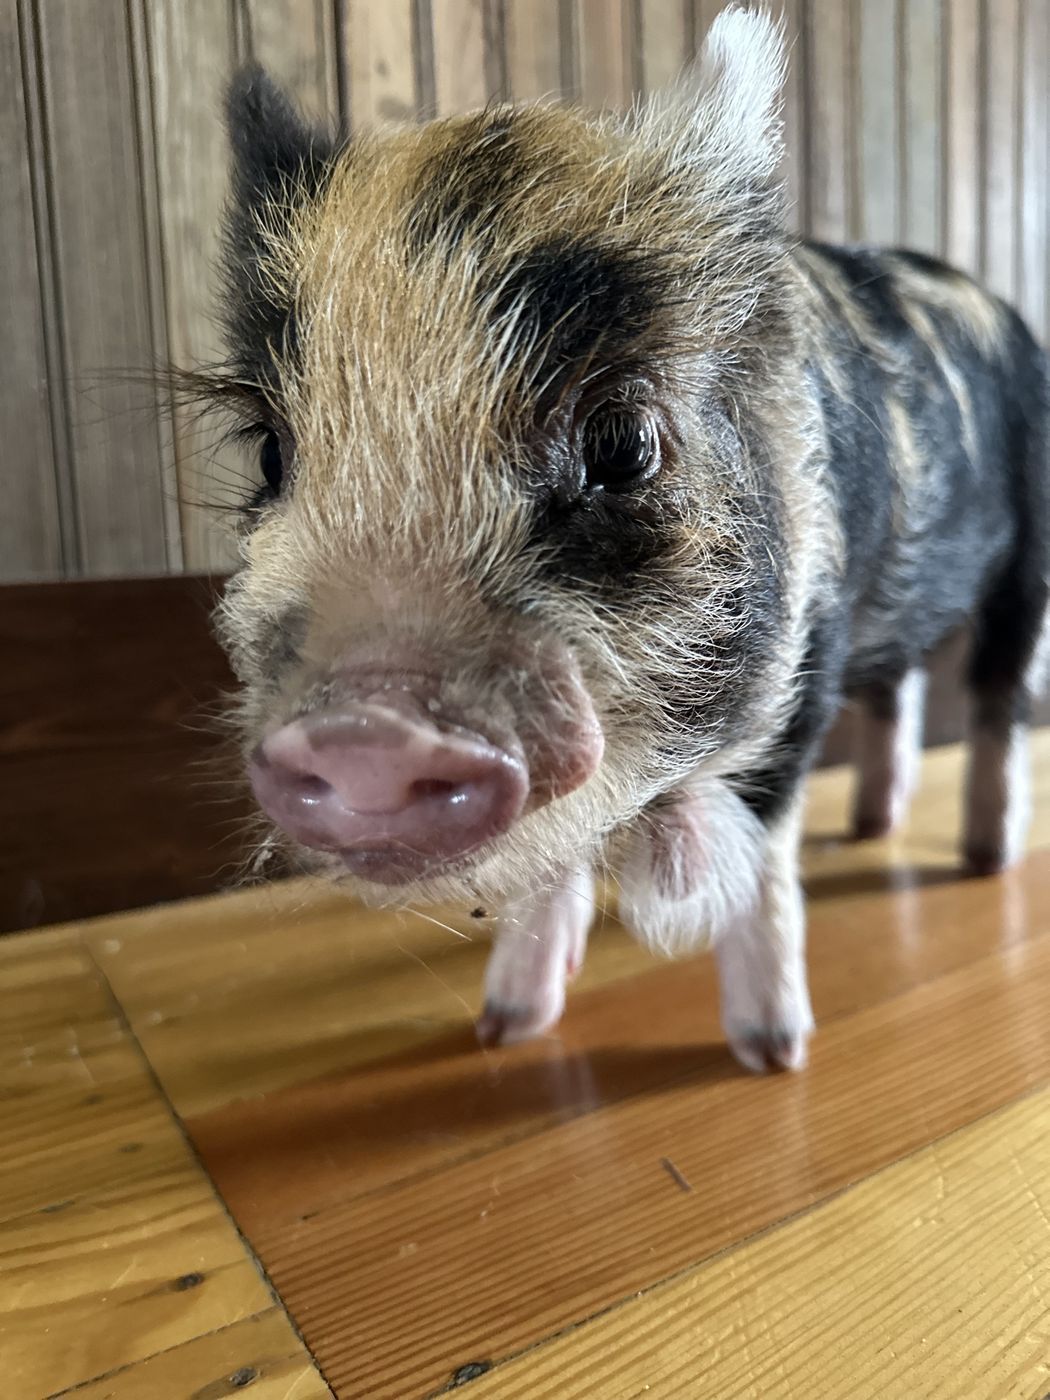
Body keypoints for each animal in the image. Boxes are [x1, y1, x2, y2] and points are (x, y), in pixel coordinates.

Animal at [202, 7, 1049, 1072]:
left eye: (622, 444)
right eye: (271, 451)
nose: (367, 725)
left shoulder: (802, 661)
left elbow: (763, 861)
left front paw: (774, 1054)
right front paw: (507, 1028)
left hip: (1032, 558)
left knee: (997, 694)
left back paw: (984, 860)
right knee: (900, 690)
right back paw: (871, 828)